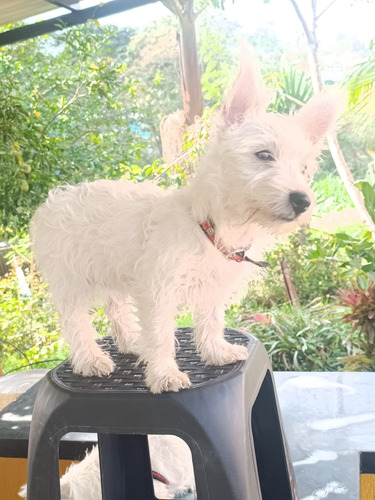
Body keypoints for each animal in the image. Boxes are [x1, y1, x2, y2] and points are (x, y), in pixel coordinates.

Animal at [29, 46, 340, 394]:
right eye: (263, 155)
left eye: (304, 169)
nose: (302, 201)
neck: (211, 225)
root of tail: (57, 198)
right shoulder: (158, 291)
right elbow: (162, 335)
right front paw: (164, 375)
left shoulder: (211, 289)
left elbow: (211, 321)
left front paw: (216, 352)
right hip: (72, 280)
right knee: (74, 321)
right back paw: (90, 359)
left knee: (116, 307)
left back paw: (132, 341)